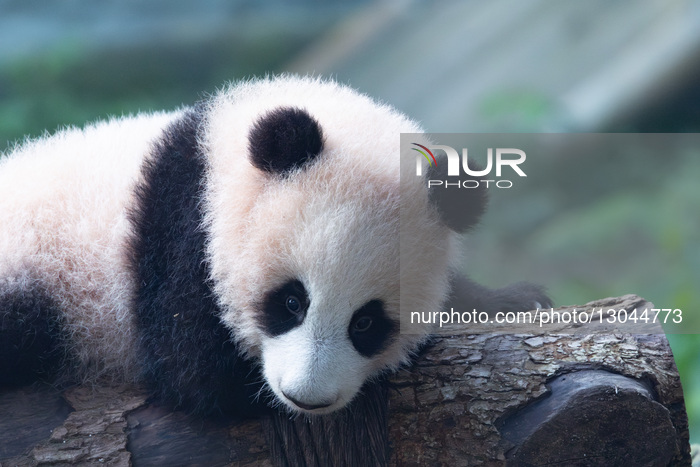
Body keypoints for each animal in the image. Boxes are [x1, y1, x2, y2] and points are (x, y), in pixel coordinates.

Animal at [0, 75, 549, 417]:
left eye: (366, 322)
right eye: (290, 301)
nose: (306, 398)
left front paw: (514, 300)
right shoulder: (180, 237)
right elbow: (195, 375)